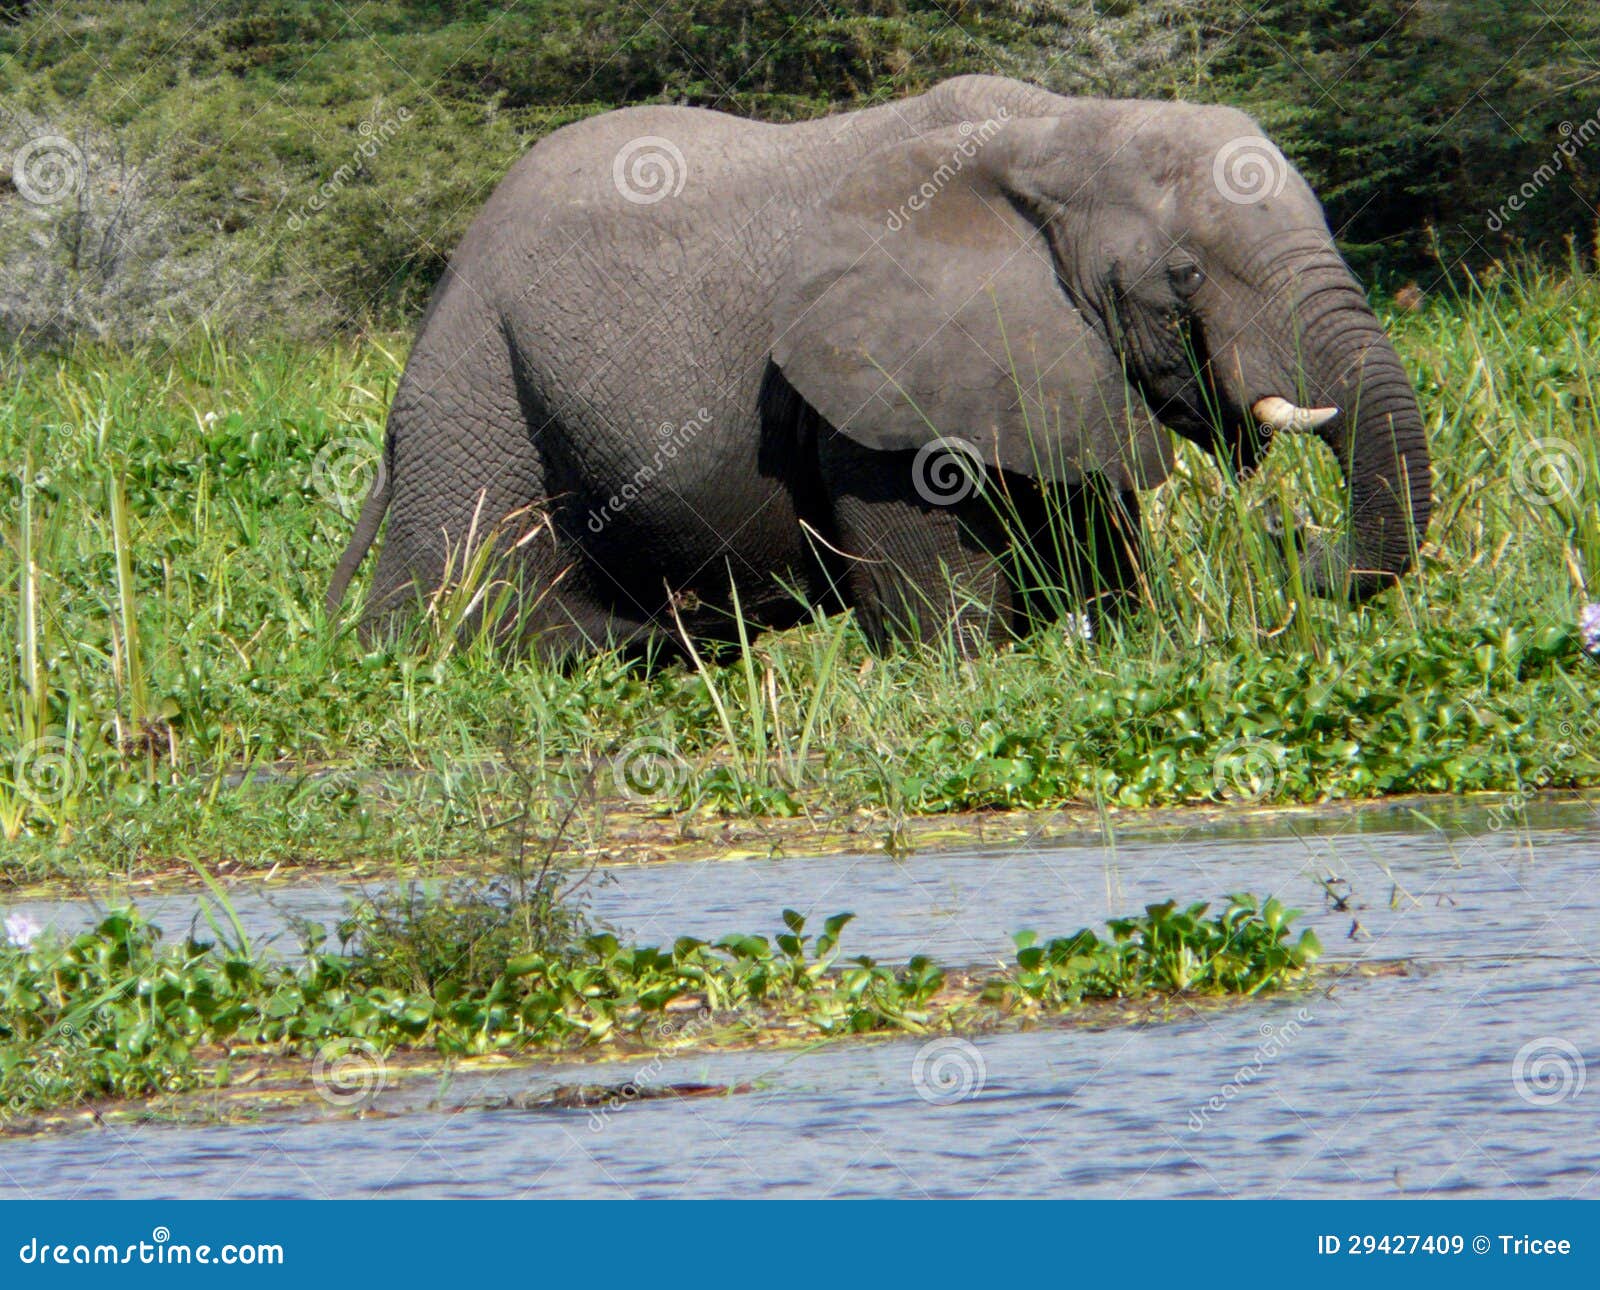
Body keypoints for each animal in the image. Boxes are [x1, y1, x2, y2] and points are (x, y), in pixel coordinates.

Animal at [326, 74, 1431, 656]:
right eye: (1186, 274)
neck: (1055, 127)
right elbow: (937, 604)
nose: (1297, 543)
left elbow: (1094, 552)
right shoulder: (871, 386)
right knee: (464, 599)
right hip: (479, 391)